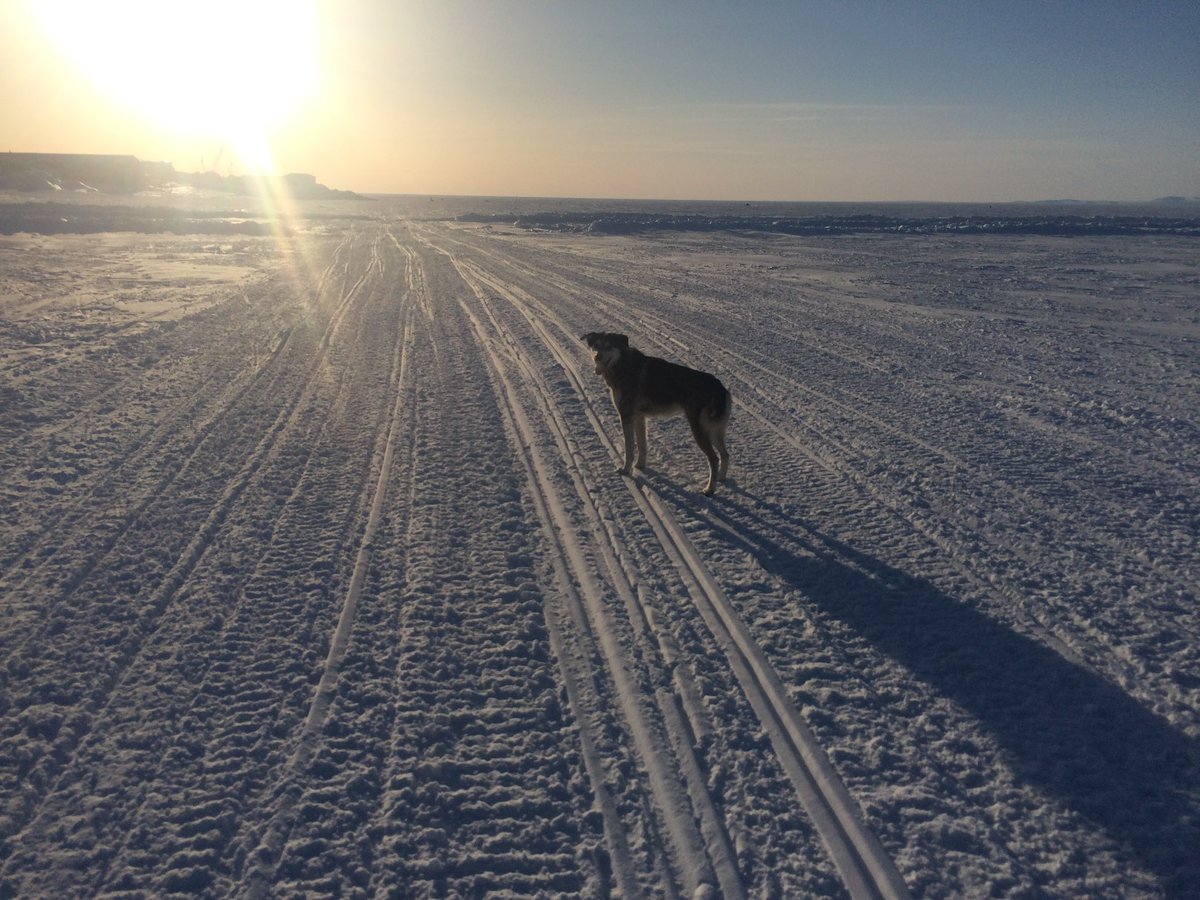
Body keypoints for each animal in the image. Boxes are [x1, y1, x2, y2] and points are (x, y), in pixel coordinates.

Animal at [580, 333, 729, 496]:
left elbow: (629, 449)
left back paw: (710, 489)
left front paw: (626, 470)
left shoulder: (626, 416)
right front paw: (640, 465)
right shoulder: (639, 417)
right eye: (596, 346)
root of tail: (720, 387)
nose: (597, 357)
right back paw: (721, 478)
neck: (622, 364)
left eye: (608, 346)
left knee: (714, 459)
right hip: (714, 431)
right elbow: (642, 445)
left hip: (700, 430)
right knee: (725, 454)